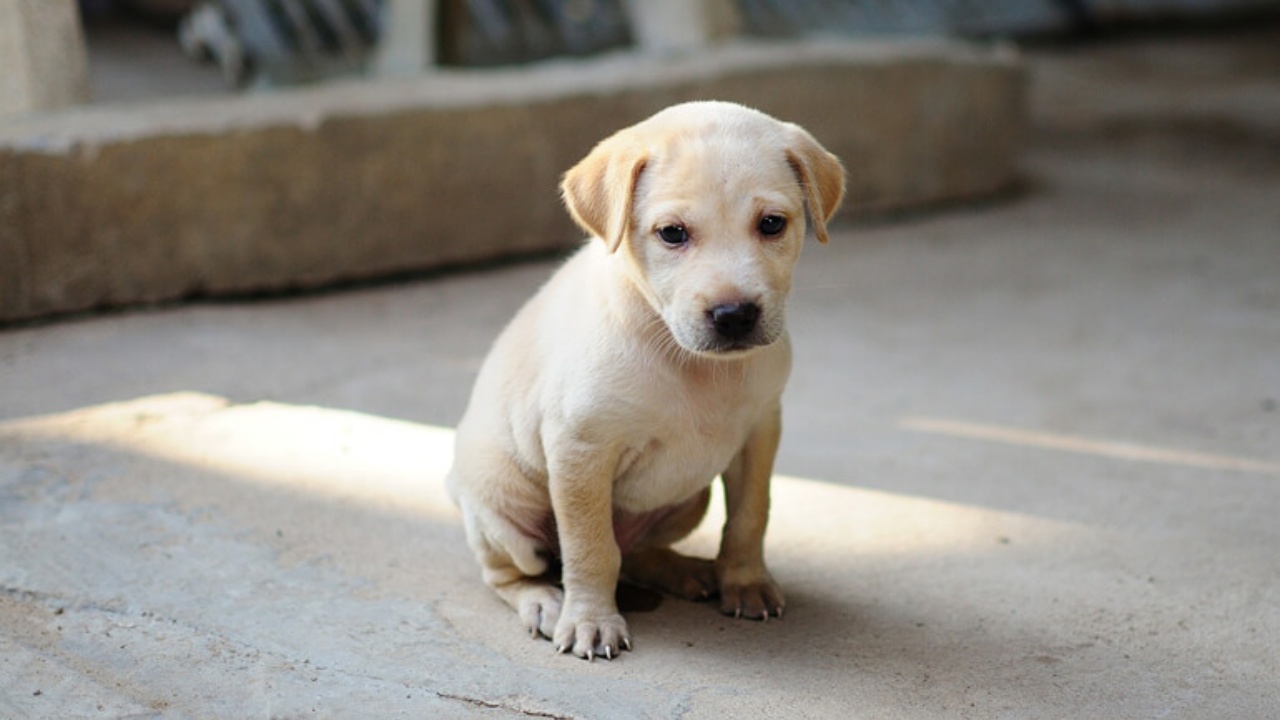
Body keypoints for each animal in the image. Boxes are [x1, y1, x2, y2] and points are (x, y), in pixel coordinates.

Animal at [445, 99, 844, 655]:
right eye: (672, 233)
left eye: (771, 224)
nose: (734, 315)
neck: (692, 364)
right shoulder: (580, 448)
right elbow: (590, 546)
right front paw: (590, 620)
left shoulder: (760, 430)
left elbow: (750, 516)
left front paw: (745, 581)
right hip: (503, 504)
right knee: (515, 571)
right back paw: (544, 601)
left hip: (688, 498)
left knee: (634, 552)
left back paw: (683, 570)